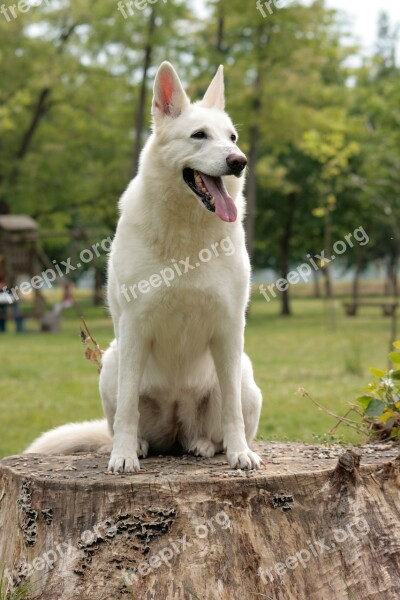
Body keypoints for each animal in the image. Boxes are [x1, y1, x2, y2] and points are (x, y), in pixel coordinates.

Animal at [25, 62, 262, 474]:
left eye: (231, 137)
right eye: (199, 136)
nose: (239, 161)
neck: (187, 239)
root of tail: (177, 429)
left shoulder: (230, 329)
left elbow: (231, 413)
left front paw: (240, 454)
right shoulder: (135, 328)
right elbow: (126, 412)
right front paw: (122, 456)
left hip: (244, 374)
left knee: (217, 426)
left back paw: (205, 445)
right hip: (112, 364)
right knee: (126, 419)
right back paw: (136, 445)